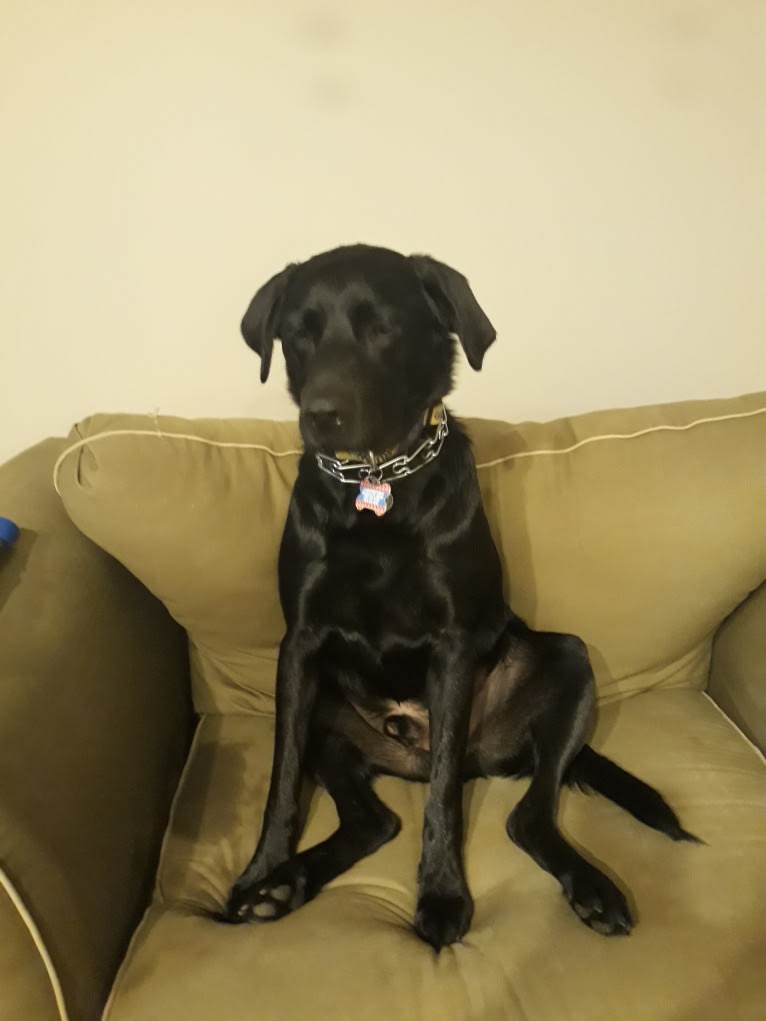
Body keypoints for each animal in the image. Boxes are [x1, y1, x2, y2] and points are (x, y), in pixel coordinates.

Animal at [224, 245, 698, 947]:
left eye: (382, 328)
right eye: (298, 334)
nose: (321, 415)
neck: (376, 484)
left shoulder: (452, 649)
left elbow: (445, 795)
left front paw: (443, 895)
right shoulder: (300, 647)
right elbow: (281, 783)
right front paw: (260, 872)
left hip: (567, 658)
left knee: (523, 814)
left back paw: (592, 888)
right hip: (329, 711)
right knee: (376, 821)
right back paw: (284, 885)